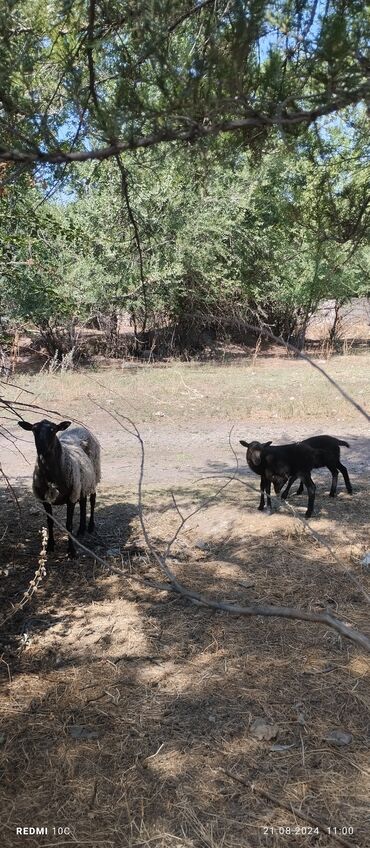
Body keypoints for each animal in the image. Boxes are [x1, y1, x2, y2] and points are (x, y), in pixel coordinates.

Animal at [18, 418, 100, 556]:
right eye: (34, 429)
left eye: (53, 429)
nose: (42, 450)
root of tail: (80, 428)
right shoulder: (45, 499)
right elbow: (50, 522)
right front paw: (50, 546)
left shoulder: (71, 497)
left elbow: (68, 524)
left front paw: (71, 551)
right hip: (82, 482)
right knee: (83, 502)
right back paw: (81, 529)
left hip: (94, 475)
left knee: (92, 500)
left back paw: (90, 526)